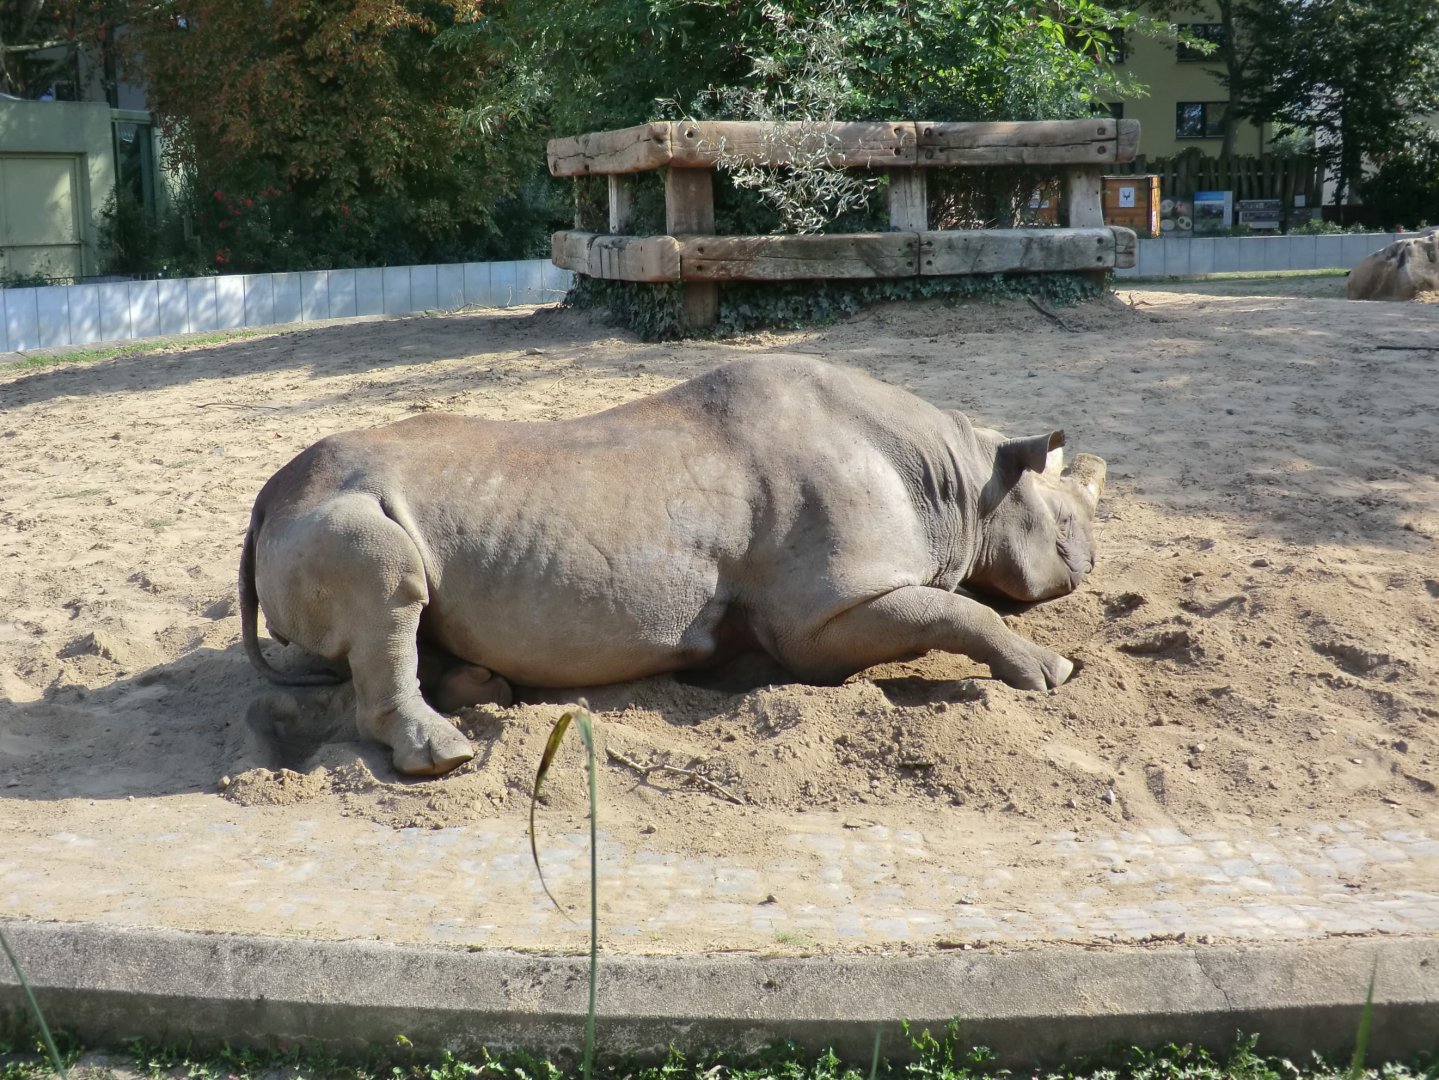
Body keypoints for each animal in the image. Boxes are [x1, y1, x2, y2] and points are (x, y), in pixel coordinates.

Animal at [239, 356, 1106, 775]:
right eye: (1065, 523)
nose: (1090, 562)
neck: (961, 480)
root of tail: (262, 501)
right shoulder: (821, 618)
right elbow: (950, 608)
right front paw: (1052, 671)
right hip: (335, 509)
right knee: (391, 582)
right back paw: (447, 756)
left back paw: (486, 690)